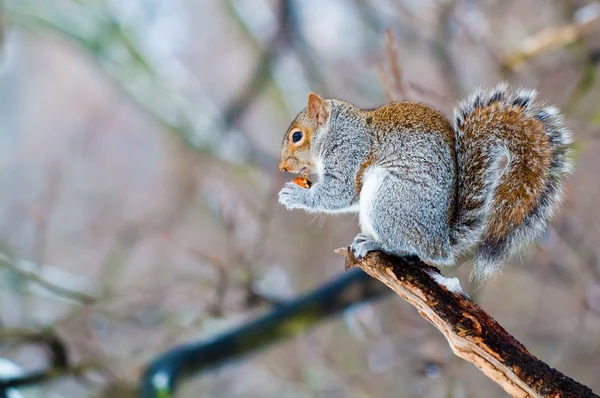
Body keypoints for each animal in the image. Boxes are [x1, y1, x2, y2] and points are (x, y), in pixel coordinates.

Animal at [278, 84, 576, 280]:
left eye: (297, 136)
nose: (282, 167)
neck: (336, 131)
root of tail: (439, 240)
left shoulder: (349, 155)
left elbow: (339, 192)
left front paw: (293, 195)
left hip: (390, 197)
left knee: (402, 246)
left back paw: (374, 243)